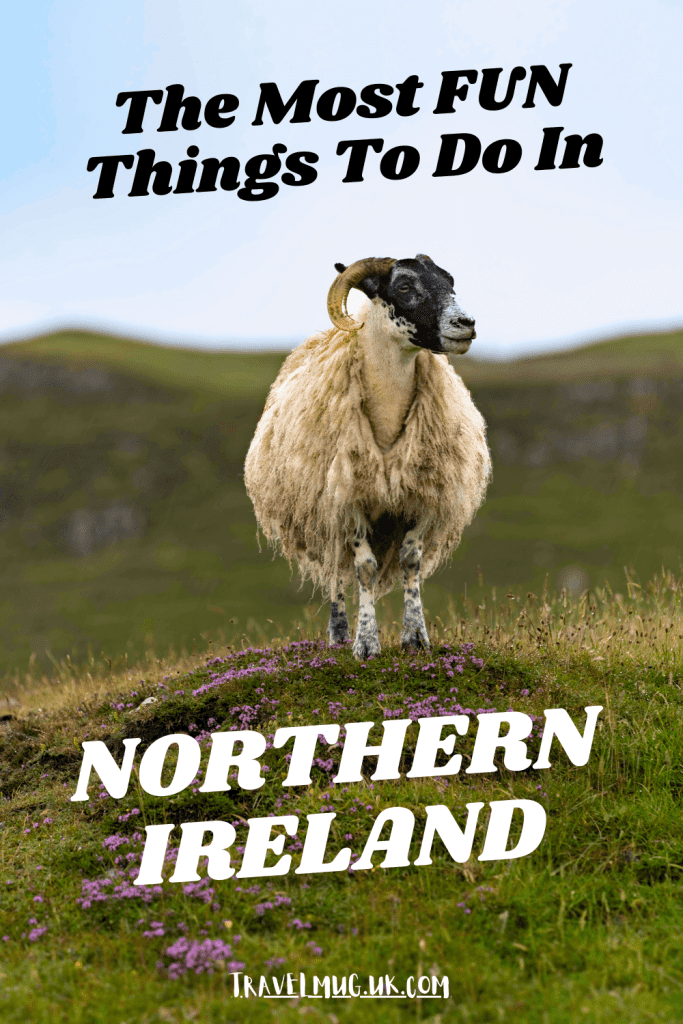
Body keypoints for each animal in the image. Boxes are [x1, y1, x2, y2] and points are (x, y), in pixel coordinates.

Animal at [245, 251, 491, 659]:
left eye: (449, 280)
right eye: (404, 286)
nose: (466, 324)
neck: (388, 416)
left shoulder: (421, 497)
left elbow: (410, 562)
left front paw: (416, 637)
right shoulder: (349, 500)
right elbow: (364, 568)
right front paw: (366, 644)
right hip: (325, 511)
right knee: (336, 571)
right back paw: (339, 633)